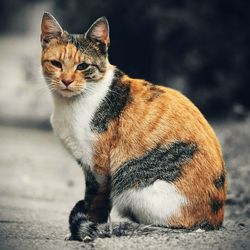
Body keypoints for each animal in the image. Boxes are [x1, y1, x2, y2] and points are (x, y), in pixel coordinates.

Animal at [41, 12, 227, 241]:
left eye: (82, 66)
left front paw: (86, 232)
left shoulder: (98, 170)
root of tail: (213, 221)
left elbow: (94, 204)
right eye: (56, 64)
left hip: (136, 187)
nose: (66, 81)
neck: (69, 104)